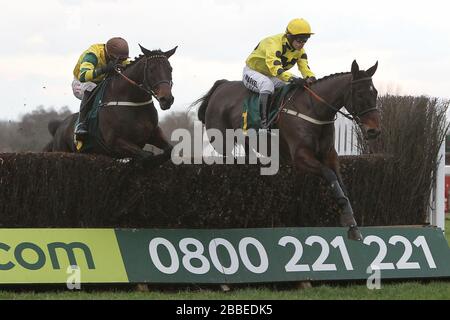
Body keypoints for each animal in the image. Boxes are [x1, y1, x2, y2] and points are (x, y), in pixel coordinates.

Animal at [44, 45, 178, 166]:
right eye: (151, 69)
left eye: (170, 69)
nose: (167, 99)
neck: (133, 102)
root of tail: (59, 126)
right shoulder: (115, 142)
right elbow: (147, 156)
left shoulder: (153, 133)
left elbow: (169, 150)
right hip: (62, 150)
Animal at [195, 60, 382, 240]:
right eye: (359, 94)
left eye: (375, 93)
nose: (374, 131)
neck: (314, 110)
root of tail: (222, 85)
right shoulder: (300, 157)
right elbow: (329, 175)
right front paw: (348, 218)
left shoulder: (329, 155)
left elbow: (341, 184)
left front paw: (351, 223)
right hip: (222, 143)